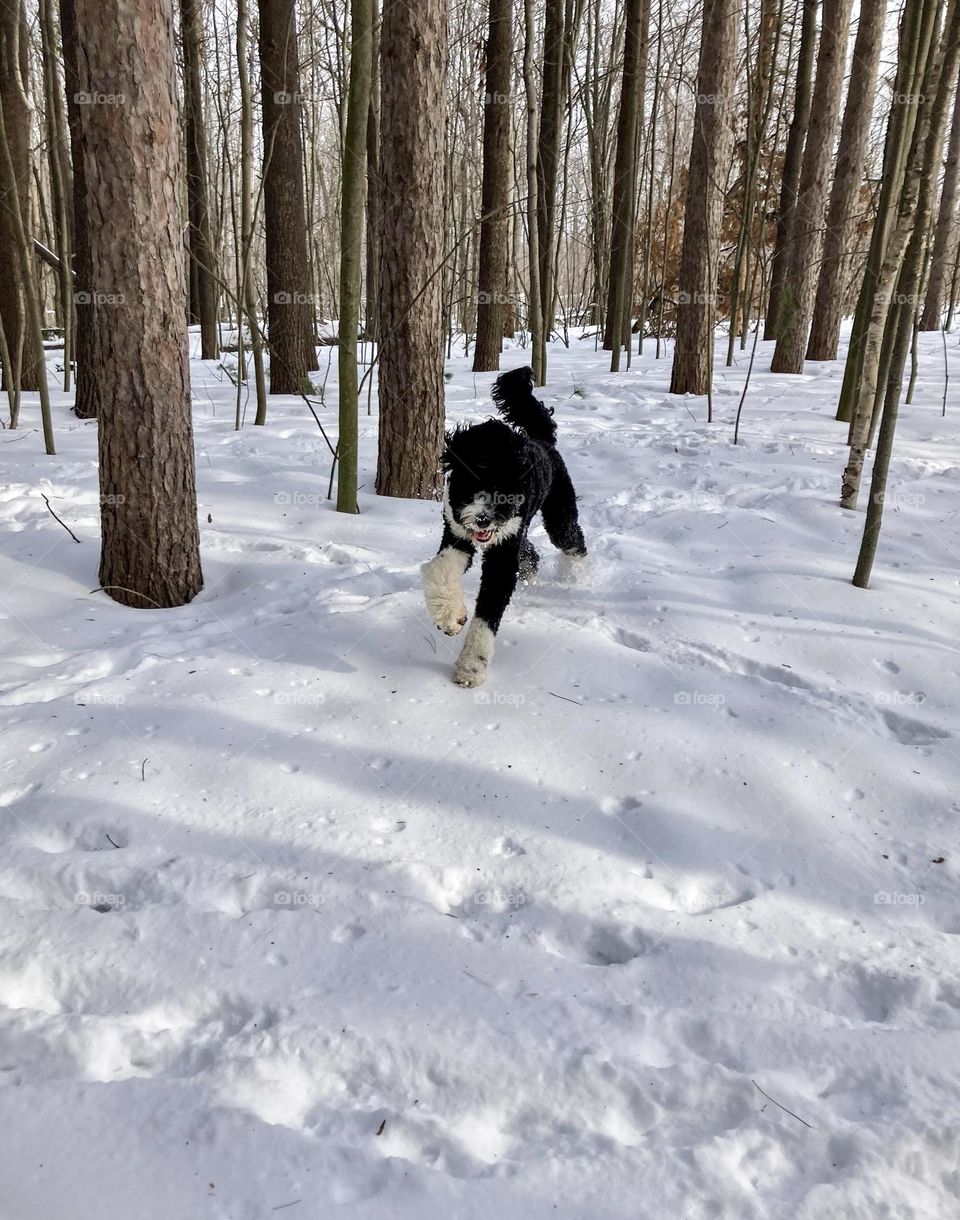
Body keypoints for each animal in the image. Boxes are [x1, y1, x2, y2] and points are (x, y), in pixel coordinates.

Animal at [424, 363, 590, 688]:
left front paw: (471, 668)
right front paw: (450, 617)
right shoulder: (457, 535)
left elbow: (488, 611)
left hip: (558, 516)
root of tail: (543, 441)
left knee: (572, 540)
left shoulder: (501, 555)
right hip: (516, 533)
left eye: (508, 483)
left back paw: (579, 576)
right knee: (530, 552)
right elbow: (439, 568)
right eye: (470, 477)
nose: (483, 518)